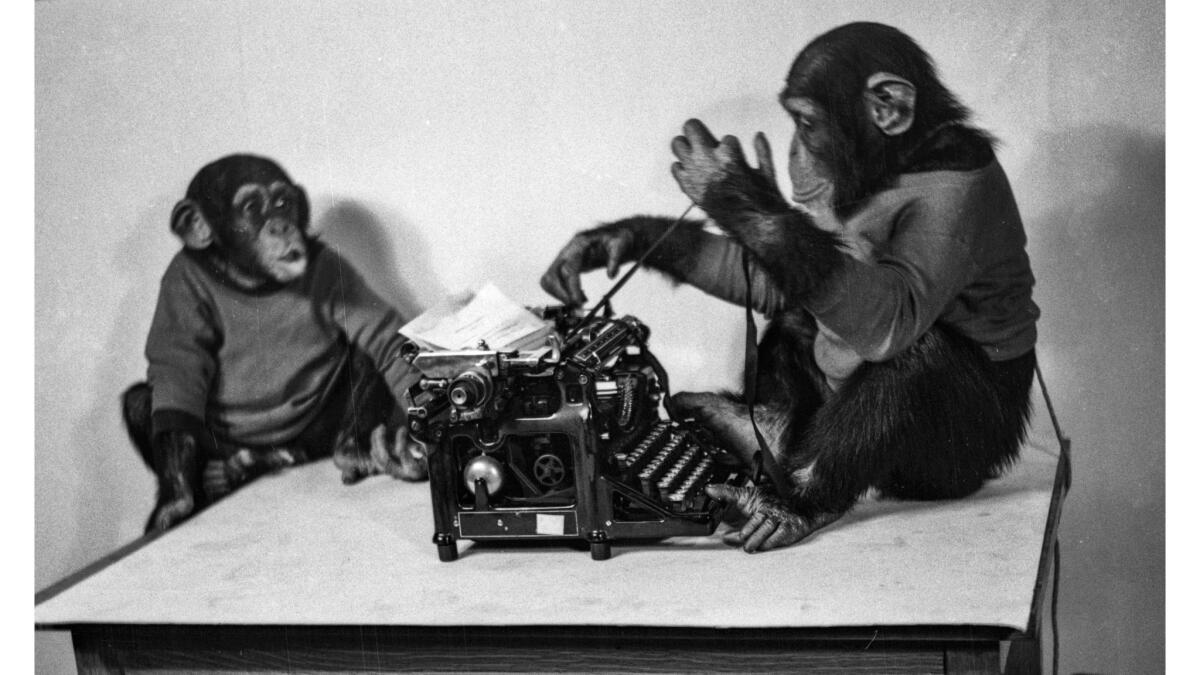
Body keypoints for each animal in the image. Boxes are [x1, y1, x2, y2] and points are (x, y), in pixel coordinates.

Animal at [123, 153, 427, 530]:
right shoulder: (178, 282)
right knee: (141, 400)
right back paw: (225, 475)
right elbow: (177, 368)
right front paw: (175, 503)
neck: (250, 278)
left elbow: (380, 336)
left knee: (361, 354)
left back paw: (342, 451)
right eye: (252, 207)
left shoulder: (330, 264)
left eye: (283, 202)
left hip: (313, 438)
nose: (280, 225)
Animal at [544, 21, 1041, 550]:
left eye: (804, 122)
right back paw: (748, 426)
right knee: (796, 319)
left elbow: (896, 312)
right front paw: (617, 238)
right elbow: (774, 281)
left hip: (950, 467)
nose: (790, 151)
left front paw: (726, 183)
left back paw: (792, 505)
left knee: (917, 354)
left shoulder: (954, 201)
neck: (901, 161)